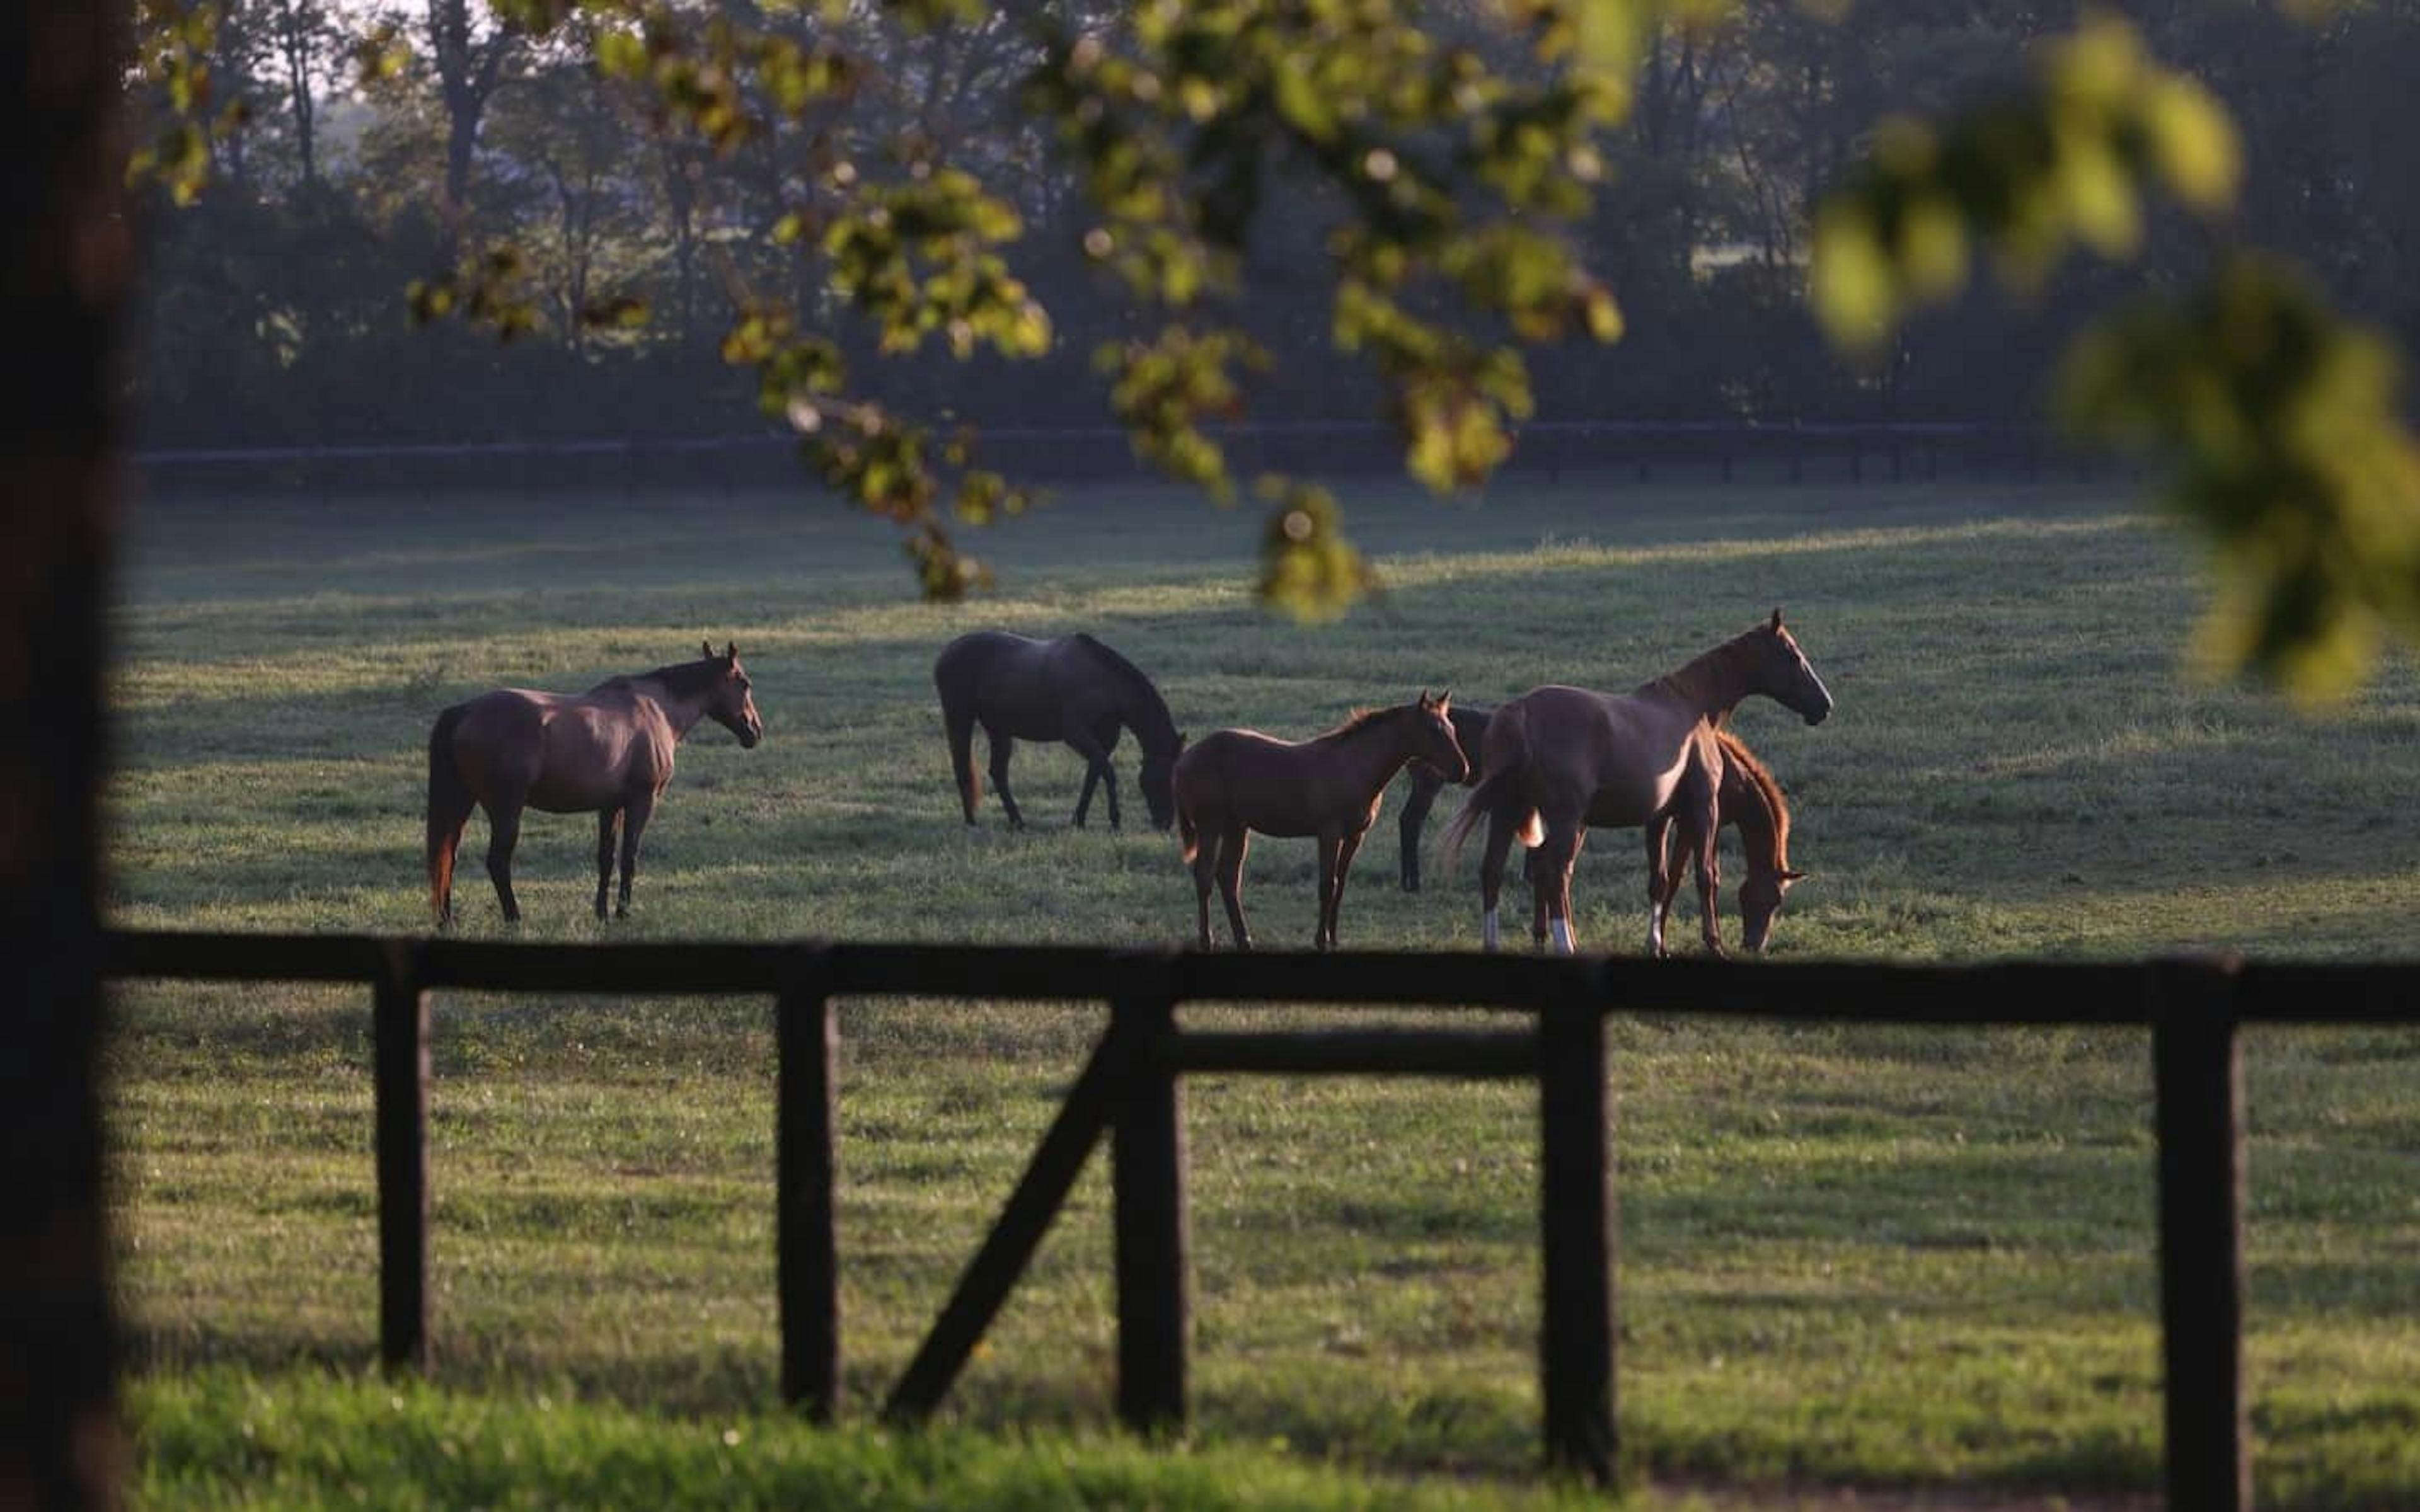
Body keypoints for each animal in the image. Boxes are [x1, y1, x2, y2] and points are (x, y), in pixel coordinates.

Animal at [425, 634, 759, 919]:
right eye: (745, 684)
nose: (755, 731)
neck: (657, 710)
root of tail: (465, 711)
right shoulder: (642, 801)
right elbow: (629, 857)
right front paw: (623, 913)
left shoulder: (610, 806)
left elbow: (606, 858)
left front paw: (602, 914)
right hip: (506, 809)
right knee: (497, 862)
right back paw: (514, 918)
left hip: (461, 802)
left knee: (447, 856)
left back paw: (447, 920)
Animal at [929, 629, 1185, 832]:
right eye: (1164, 779)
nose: (1165, 824)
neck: (1103, 683)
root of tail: (946, 652)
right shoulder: (1076, 734)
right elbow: (1108, 772)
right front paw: (1115, 820)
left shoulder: (1105, 740)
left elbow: (1093, 775)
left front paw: (1079, 820)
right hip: (959, 719)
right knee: (963, 767)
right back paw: (972, 821)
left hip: (999, 730)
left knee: (998, 773)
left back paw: (1017, 822)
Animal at [1166, 692, 1452, 948]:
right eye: (1433, 730)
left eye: (1450, 728)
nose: (1460, 770)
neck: (1354, 765)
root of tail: (1184, 760)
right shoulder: (1329, 834)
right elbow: (1327, 885)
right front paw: (1321, 940)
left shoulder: (1354, 836)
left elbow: (1340, 884)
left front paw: (1334, 938)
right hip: (1210, 827)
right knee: (1204, 876)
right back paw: (1207, 941)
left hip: (1236, 828)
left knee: (1228, 877)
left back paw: (1244, 939)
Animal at [1432, 609, 1829, 953]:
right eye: (1793, 655)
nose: (1825, 705)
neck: (1690, 707)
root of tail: (1520, 712)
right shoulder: (1704, 810)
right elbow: (1706, 877)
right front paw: (1714, 945)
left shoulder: (1661, 818)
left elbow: (1661, 882)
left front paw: (1657, 946)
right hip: (1565, 819)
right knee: (1554, 873)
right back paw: (1565, 944)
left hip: (1507, 811)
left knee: (1494, 871)